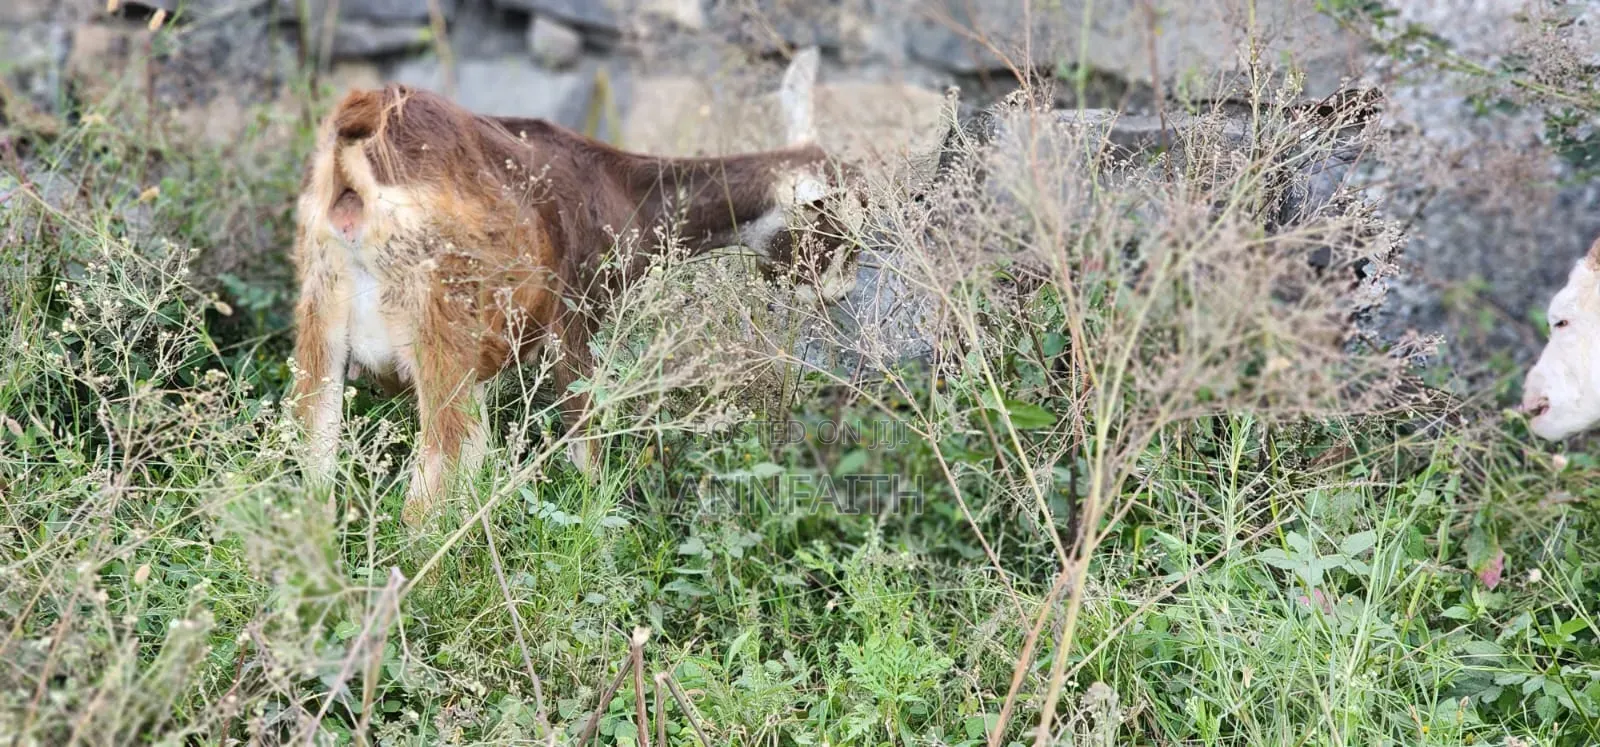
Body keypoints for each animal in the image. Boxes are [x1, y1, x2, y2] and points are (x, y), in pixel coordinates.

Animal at [288, 55, 860, 523]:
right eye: (837, 223)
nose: (839, 291)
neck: (621, 194)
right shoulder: (573, 321)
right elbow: (584, 449)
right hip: (440, 327)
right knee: (427, 492)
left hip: (322, 322)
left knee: (316, 473)